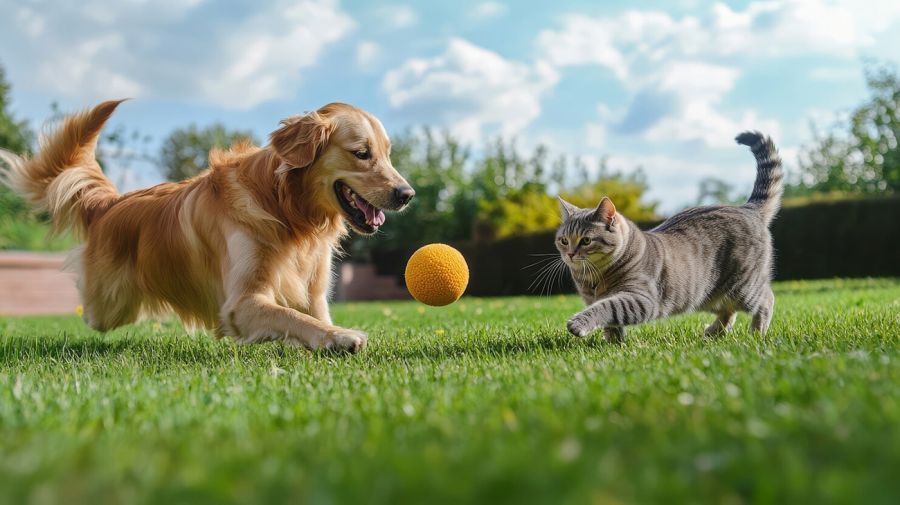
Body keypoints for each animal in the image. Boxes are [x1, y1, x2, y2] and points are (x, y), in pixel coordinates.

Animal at [0, 98, 414, 350]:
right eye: (362, 153)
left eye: (388, 154)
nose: (407, 194)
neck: (288, 210)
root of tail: (109, 204)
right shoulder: (241, 302)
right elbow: (293, 317)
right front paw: (341, 337)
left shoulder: (314, 292)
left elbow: (307, 315)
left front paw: (334, 334)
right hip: (108, 305)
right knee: (90, 312)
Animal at [556, 132, 780, 340]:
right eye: (564, 240)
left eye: (586, 240)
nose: (570, 254)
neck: (594, 277)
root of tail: (747, 208)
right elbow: (611, 324)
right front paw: (614, 343)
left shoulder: (641, 299)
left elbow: (606, 308)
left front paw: (580, 324)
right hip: (709, 293)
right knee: (728, 310)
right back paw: (713, 332)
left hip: (744, 286)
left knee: (766, 299)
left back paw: (757, 333)